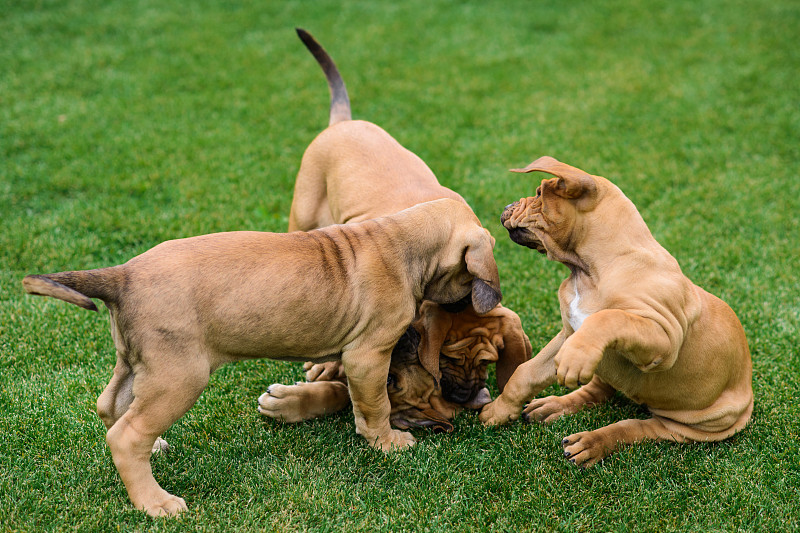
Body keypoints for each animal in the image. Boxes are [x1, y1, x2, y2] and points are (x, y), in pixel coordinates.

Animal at [23, 196, 500, 516]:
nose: (474, 305)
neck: (401, 241)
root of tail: (121, 276)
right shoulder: (368, 355)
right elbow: (375, 403)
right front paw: (387, 443)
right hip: (179, 376)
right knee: (125, 435)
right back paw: (154, 502)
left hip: (136, 361)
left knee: (111, 406)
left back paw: (154, 448)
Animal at [478, 157, 752, 466]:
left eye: (538, 194)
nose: (506, 206)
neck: (589, 271)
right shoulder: (569, 333)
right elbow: (525, 373)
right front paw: (499, 410)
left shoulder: (663, 339)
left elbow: (609, 316)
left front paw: (576, 357)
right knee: (598, 388)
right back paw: (553, 406)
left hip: (700, 424)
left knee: (639, 426)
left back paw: (590, 442)